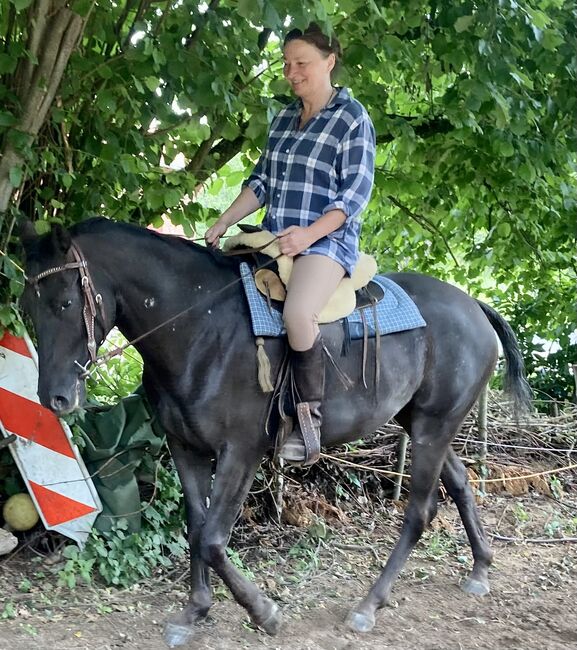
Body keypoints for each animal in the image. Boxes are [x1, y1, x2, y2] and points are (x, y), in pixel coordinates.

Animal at [19, 218, 532, 644]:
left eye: (65, 302)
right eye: (28, 308)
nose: (55, 398)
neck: (199, 327)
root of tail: (473, 304)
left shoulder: (239, 452)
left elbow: (212, 539)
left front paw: (263, 612)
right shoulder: (186, 448)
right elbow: (196, 527)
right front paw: (196, 611)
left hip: (432, 427)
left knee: (420, 510)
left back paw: (369, 604)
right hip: (424, 424)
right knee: (461, 484)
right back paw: (480, 569)